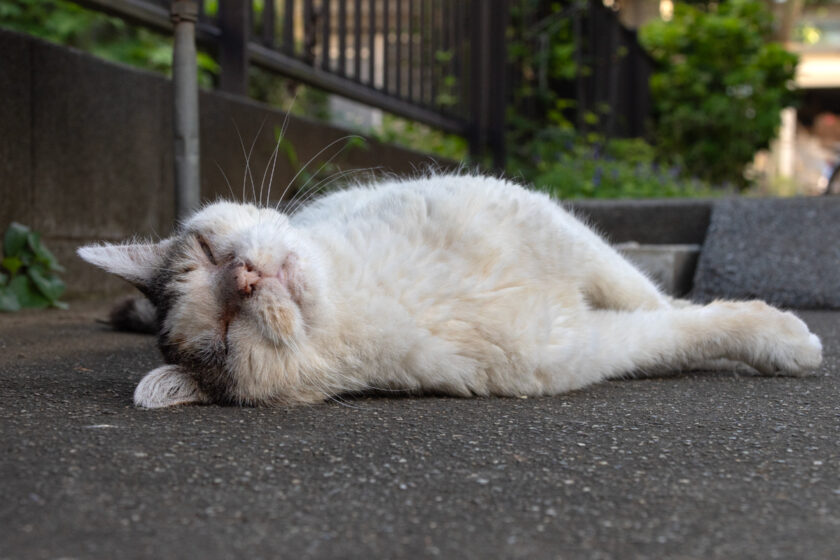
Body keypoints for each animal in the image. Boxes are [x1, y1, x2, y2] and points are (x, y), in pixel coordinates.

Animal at [75, 174, 824, 406]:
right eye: (226, 336)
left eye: (207, 253)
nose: (247, 276)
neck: (377, 285)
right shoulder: (587, 347)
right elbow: (678, 330)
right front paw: (787, 339)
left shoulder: (563, 235)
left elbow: (653, 298)